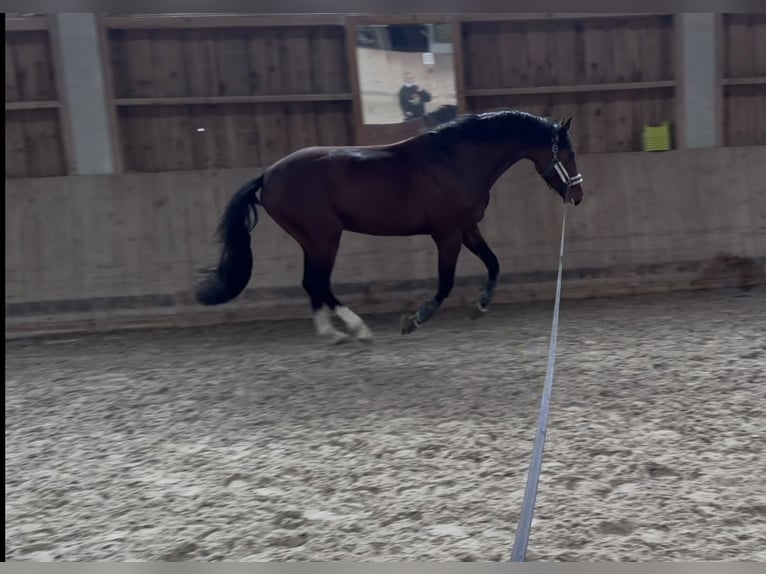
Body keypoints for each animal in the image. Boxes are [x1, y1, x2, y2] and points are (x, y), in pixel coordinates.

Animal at [195, 109, 585, 343]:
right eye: (568, 154)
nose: (577, 195)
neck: (455, 161)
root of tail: (268, 175)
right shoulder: (447, 234)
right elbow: (445, 282)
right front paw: (415, 319)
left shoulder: (467, 229)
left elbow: (494, 264)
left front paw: (481, 305)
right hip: (324, 237)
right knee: (318, 282)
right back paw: (357, 329)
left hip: (312, 240)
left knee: (312, 283)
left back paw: (334, 333)